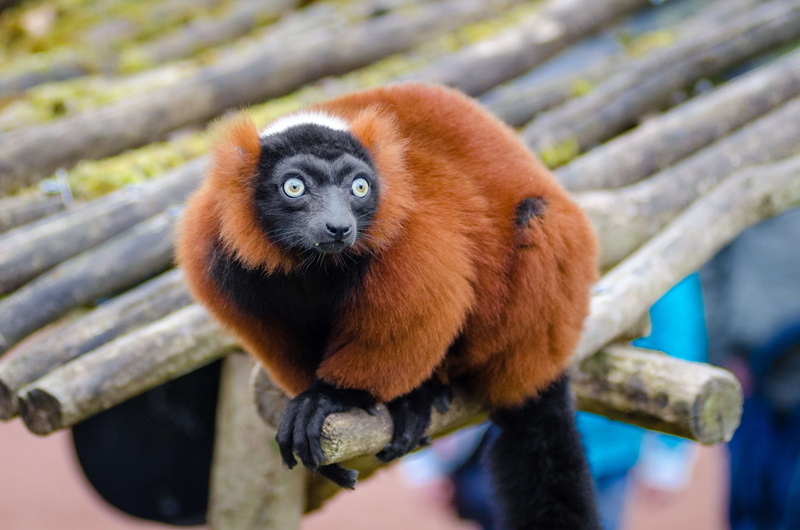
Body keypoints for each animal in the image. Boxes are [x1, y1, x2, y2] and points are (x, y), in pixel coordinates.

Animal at [176, 82, 600, 529]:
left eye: (359, 188)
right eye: (294, 187)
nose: (339, 227)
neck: (312, 262)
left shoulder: (409, 229)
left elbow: (428, 304)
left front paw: (329, 398)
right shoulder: (216, 245)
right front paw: (316, 396)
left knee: (535, 217)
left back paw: (427, 392)